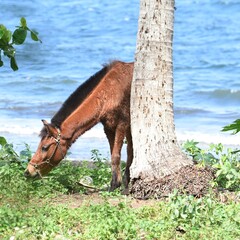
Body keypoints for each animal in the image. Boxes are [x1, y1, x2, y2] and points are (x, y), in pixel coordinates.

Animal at [24, 60, 133, 191]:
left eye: (44, 147)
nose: (28, 171)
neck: (110, 90)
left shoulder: (122, 123)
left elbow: (117, 155)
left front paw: (116, 185)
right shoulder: (109, 127)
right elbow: (117, 153)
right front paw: (117, 183)